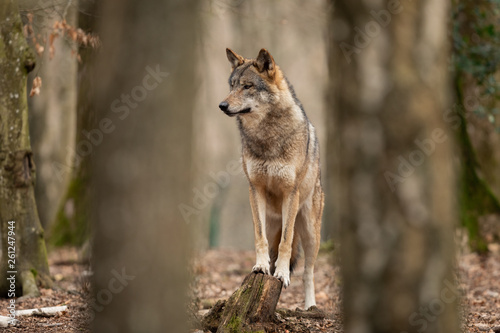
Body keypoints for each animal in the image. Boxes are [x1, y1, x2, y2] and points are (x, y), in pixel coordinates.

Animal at [219, 47, 324, 308]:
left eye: (247, 86)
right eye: (232, 85)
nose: (222, 105)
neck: (266, 136)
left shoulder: (290, 192)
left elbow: (287, 243)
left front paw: (282, 275)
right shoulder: (254, 189)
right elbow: (259, 238)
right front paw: (260, 267)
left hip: (310, 233)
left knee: (307, 271)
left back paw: (310, 306)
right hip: (272, 220)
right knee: (271, 245)